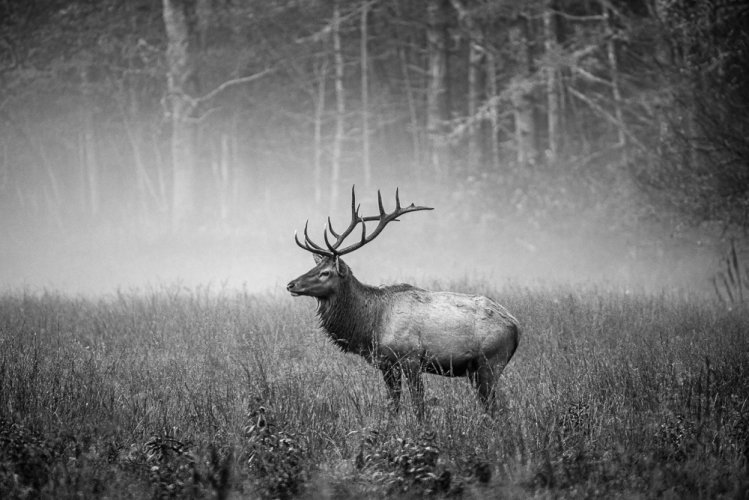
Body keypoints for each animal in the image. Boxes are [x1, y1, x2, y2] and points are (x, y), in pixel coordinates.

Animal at [286, 186, 520, 416]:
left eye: (325, 273)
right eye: (314, 266)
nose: (291, 284)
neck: (371, 325)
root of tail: (516, 326)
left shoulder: (411, 357)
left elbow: (419, 405)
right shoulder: (386, 363)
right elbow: (393, 405)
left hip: (491, 360)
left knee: (495, 408)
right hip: (476, 370)